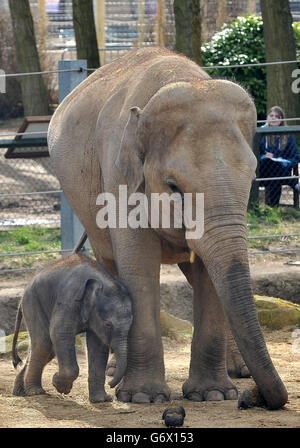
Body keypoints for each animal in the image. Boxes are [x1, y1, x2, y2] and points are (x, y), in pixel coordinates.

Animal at [12, 254, 132, 404]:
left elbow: (98, 346)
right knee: (44, 344)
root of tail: (23, 294)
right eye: (108, 325)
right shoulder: (69, 299)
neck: (102, 281)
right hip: (33, 302)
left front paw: (101, 400)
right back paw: (35, 392)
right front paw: (60, 386)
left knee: (46, 348)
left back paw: (20, 391)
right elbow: (59, 333)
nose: (111, 385)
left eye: (131, 324)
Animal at [48, 47, 288, 408]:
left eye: (251, 180)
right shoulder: (118, 177)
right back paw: (116, 371)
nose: (256, 397)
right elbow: (139, 265)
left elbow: (209, 273)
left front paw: (212, 394)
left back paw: (240, 372)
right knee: (112, 267)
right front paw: (142, 397)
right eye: (174, 187)